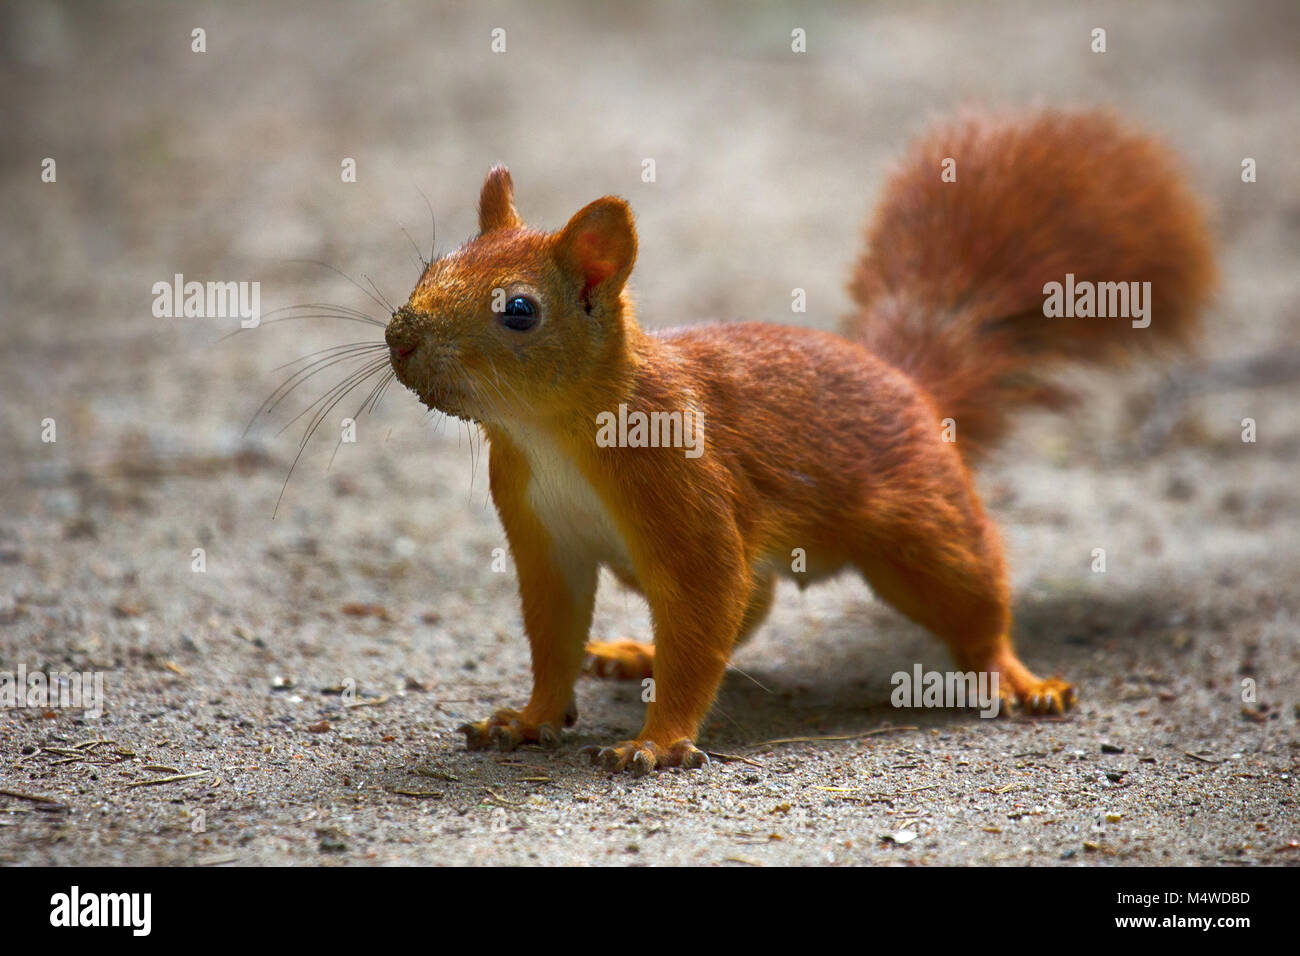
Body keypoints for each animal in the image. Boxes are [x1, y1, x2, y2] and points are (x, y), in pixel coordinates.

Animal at [379, 108, 1211, 775]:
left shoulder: (682, 485)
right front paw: (526, 720)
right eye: (431, 266)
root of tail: (909, 382)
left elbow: (705, 603)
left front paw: (657, 742)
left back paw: (1017, 678)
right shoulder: (543, 537)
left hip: (927, 534)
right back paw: (636, 652)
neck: (550, 434)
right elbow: (556, 637)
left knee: (972, 602)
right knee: (750, 605)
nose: (400, 338)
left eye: (519, 311)